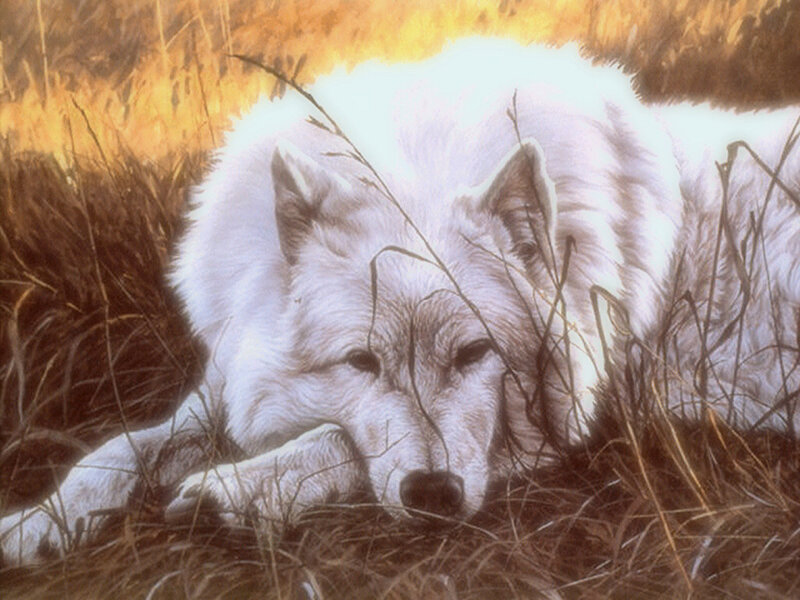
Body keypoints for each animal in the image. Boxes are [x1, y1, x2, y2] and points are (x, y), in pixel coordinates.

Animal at [2, 38, 799, 565]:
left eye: (476, 352)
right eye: (361, 362)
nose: (435, 495)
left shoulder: (565, 432)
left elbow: (339, 443)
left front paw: (230, 492)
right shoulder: (232, 381)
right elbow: (119, 450)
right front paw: (39, 521)